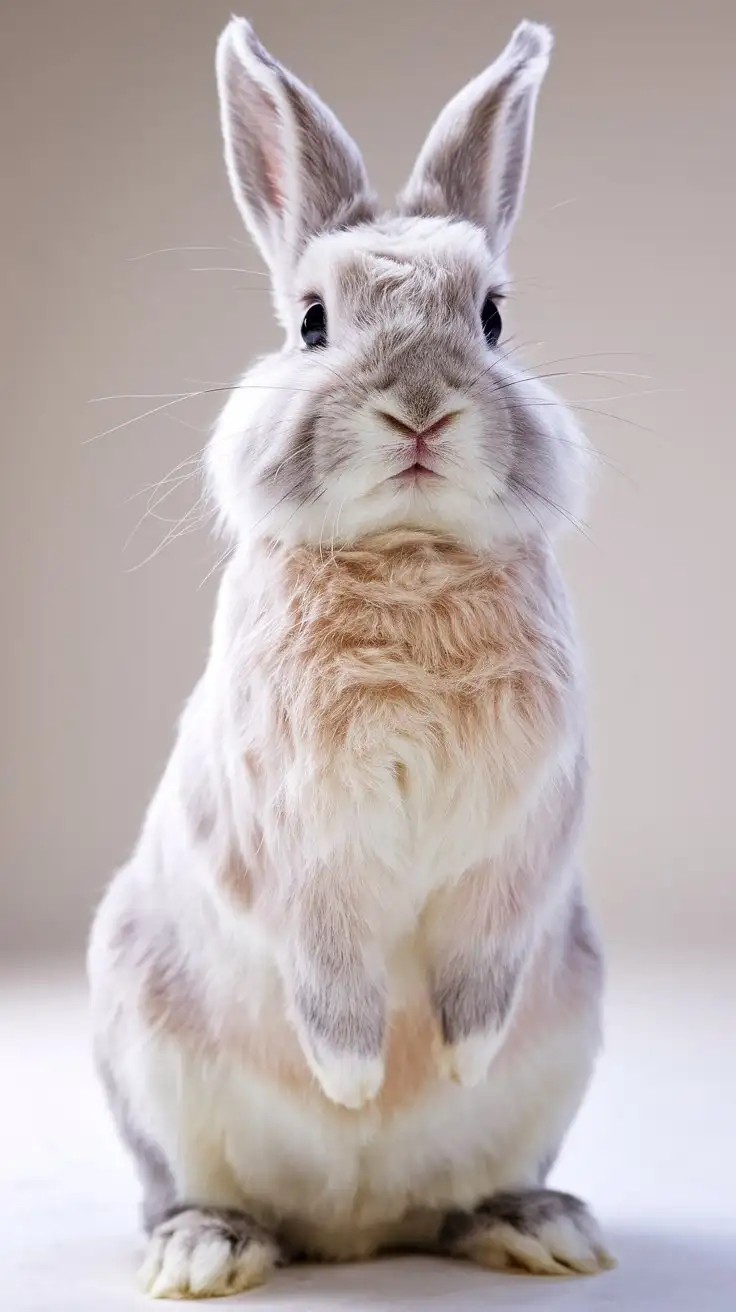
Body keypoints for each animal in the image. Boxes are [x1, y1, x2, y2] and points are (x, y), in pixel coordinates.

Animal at [87, 12, 613, 1301]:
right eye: (312, 322)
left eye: (491, 318)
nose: (419, 409)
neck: (409, 557)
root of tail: (359, 1233)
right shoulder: (296, 842)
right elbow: (330, 974)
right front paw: (357, 1080)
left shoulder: (526, 833)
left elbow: (483, 957)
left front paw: (455, 1061)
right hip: (147, 1052)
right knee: (196, 1192)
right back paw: (208, 1249)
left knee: (463, 1197)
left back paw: (538, 1225)